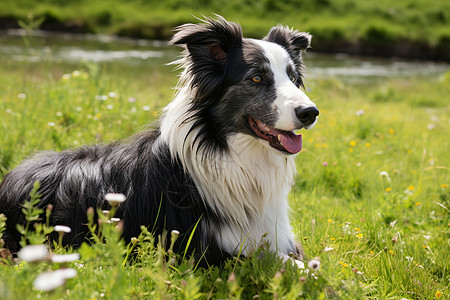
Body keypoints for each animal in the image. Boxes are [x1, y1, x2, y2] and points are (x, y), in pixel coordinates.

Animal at [0, 15, 318, 264]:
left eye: (292, 78)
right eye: (256, 78)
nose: (310, 113)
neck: (232, 154)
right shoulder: (200, 251)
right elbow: (285, 264)